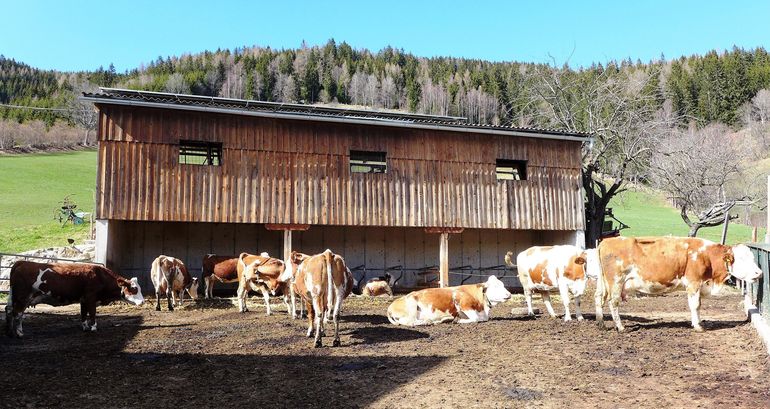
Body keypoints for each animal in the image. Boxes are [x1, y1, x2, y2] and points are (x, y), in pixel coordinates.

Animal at [5, 260, 142, 336]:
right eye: (134, 289)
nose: (142, 302)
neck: (100, 276)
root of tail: (22, 262)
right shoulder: (91, 297)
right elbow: (92, 313)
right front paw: (93, 328)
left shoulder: (83, 300)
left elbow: (83, 314)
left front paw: (85, 327)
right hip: (22, 298)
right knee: (18, 313)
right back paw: (19, 333)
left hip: (14, 297)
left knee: (9, 310)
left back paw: (10, 332)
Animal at [592, 236, 760, 332]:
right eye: (742, 259)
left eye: (752, 258)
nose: (759, 273)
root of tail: (606, 241)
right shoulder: (693, 282)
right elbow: (695, 305)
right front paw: (698, 326)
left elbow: (698, 304)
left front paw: (698, 322)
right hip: (616, 282)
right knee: (613, 302)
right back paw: (620, 327)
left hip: (603, 283)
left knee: (598, 297)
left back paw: (601, 324)